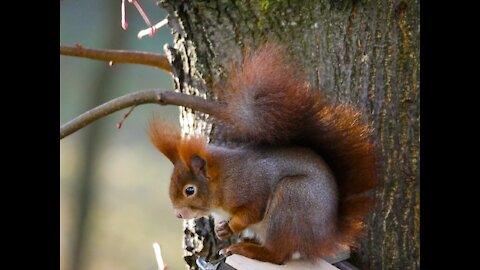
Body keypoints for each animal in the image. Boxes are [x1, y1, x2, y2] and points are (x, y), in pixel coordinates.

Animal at [148, 43, 376, 264]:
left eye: (190, 190)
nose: (178, 214)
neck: (223, 179)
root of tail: (324, 238)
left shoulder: (254, 188)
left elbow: (252, 211)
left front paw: (230, 227)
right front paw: (221, 228)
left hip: (291, 201)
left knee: (277, 255)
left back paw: (246, 249)